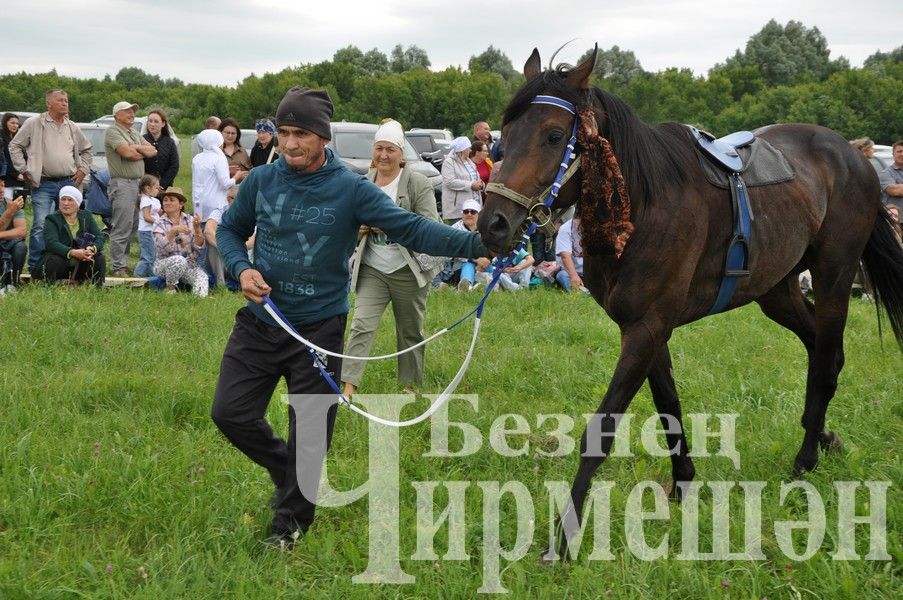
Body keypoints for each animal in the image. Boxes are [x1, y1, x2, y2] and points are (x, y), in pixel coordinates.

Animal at [480, 48, 903, 556]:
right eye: (503, 139)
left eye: (554, 135)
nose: (493, 223)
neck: (643, 204)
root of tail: (855, 158)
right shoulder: (646, 328)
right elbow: (669, 405)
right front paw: (682, 483)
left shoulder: (647, 327)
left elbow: (601, 430)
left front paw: (564, 536)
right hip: (777, 290)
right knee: (823, 349)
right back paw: (821, 436)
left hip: (833, 275)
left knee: (824, 360)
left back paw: (804, 461)